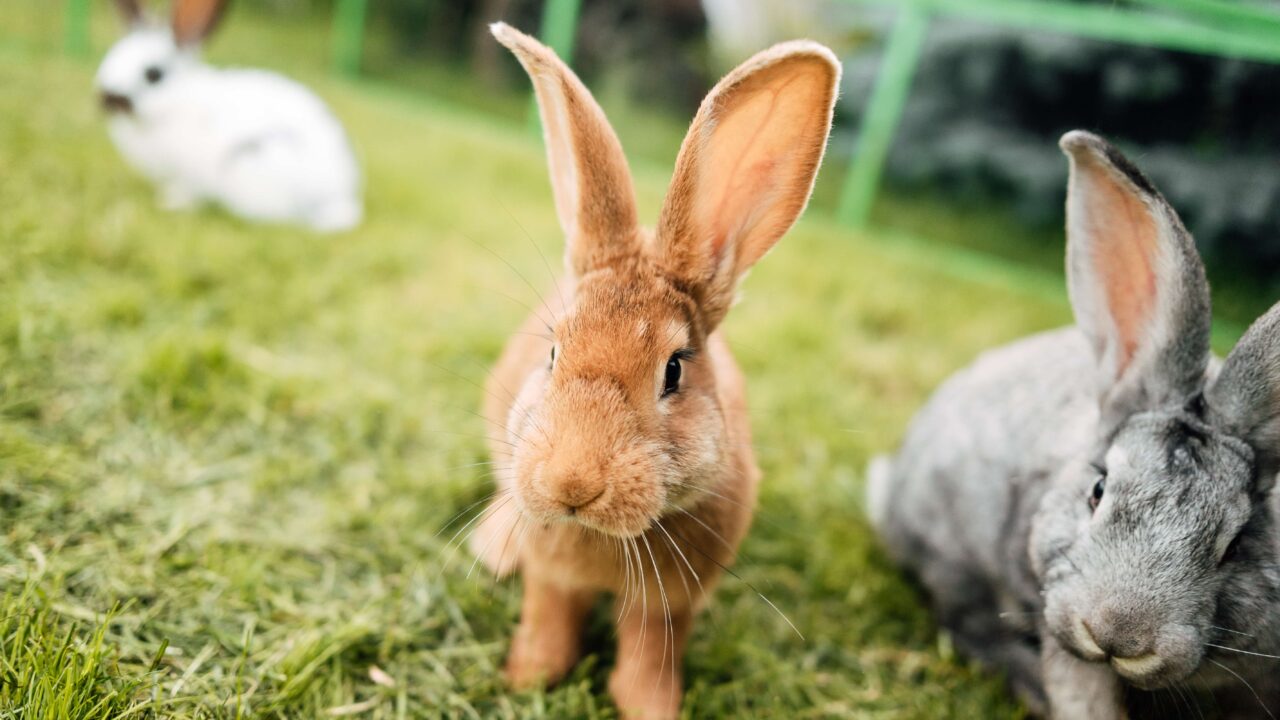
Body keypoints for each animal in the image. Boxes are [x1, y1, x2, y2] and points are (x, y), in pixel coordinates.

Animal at [96, 0, 362, 232]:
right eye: (110, 57)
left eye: (153, 74)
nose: (107, 98)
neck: (177, 101)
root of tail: (340, 198)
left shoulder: (190, 172)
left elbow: (187, 190)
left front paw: (172, 203)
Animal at [465, 22, 839, 720]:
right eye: (552, 352)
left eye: (673, 371)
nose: (572, 483)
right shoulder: (552, 578)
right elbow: (548, 630)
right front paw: (525, 681)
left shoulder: (668, 607)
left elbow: (644, 666)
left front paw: (654, 707)